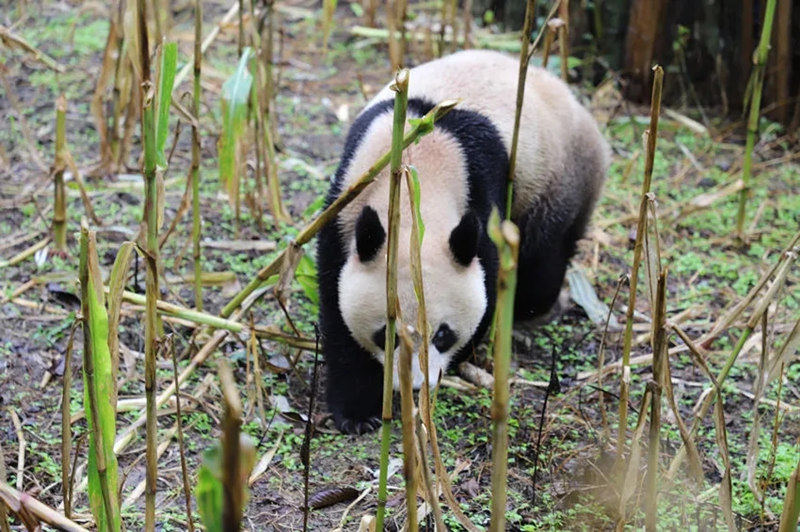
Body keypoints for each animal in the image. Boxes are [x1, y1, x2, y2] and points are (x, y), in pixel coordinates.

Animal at [317, 50, 609, 434]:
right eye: (386, 333)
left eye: (443, 334)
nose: (415, 386)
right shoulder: (346, 202)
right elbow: (336, 307)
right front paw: (358, 412)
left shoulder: (481, 194)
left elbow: (489, 279)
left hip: (557, 179)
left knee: (546, 256)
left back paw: (531, 307)